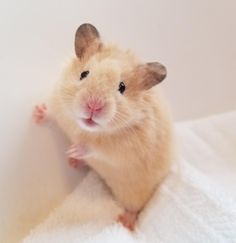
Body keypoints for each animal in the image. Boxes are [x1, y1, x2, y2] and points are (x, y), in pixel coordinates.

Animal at [33, 23, 173, 231]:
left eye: (122, 87)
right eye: (84, 74)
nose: (93, 106)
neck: (83, 127)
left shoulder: (123, 148)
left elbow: (95, 147)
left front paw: (74, 150)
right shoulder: (59, 105)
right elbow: (53, 112)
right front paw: (37, 113)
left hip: (135, 193)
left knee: (135, 208)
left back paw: (124, 223)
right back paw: (74, 163)